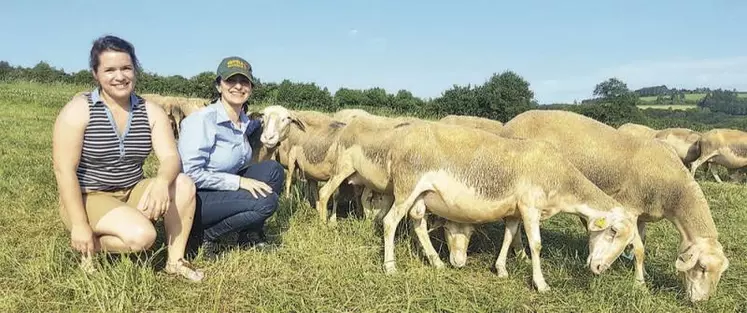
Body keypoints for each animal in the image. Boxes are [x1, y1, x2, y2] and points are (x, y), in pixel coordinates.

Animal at [376, 120, 640, 292]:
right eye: (613, 231)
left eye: (628, 243)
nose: (599, 268)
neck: (560, 179)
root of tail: (398, 143)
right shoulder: (530, 207)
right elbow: (536, 244)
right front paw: (541, 284)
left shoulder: (515, 211)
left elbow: (509, 236)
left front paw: (501, 269)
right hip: (407, 186)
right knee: (389, 222)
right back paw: (390, 267)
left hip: (421, 194)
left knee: (418, 223)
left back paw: (437, 263)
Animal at [500, 110, 728, 302]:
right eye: (702, 267)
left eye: (721, 273)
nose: (702, 301)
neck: (674, 191)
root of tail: (509, 124)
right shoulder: (630, 207)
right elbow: (639, 250)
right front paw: (640, 285)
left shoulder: (642, 215)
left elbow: (641, 243)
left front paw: (643, 272)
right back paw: (521, 254)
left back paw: (520, 254)